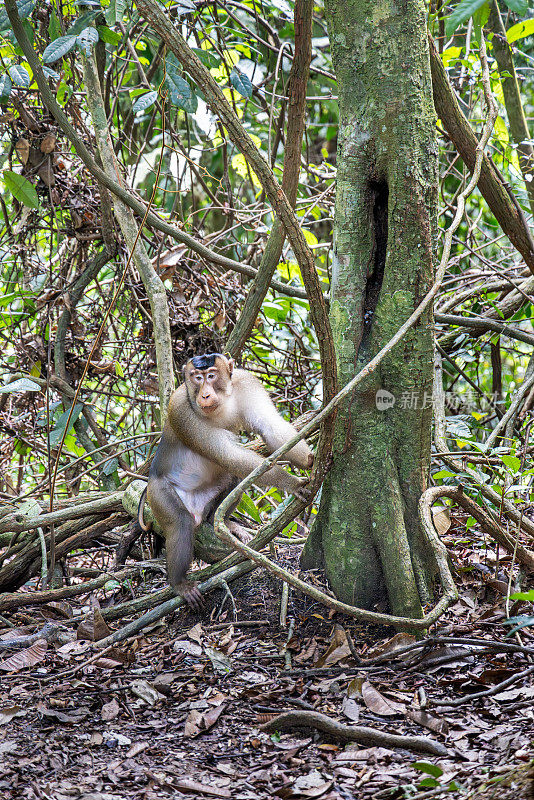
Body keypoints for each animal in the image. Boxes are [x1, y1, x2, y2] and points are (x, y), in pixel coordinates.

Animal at [139, 354, 314, 608]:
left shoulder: (247, 384)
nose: (204, 395)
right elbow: (229, 455)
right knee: (181, 521)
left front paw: (310, 458)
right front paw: (291, 482)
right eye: (197, 377)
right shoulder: (181, 408)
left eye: (211, 375)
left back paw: (221, 522)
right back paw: (179, 583)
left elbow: (269, 426)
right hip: (157, 492)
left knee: (234, 476)